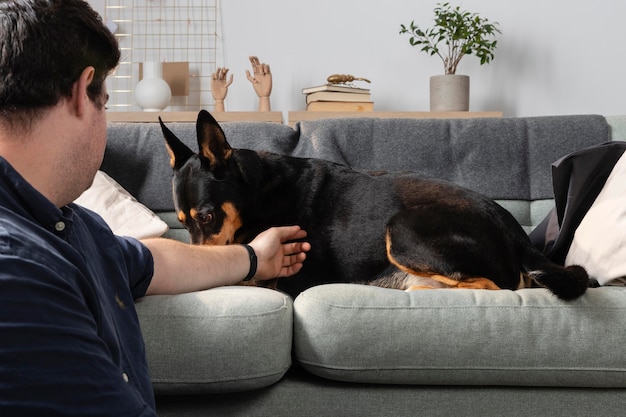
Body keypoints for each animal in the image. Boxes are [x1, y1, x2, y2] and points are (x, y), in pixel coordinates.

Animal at [158, 109, 588, 300]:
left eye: (207, 217)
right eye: (182, 221)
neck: (256, 193)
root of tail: (517, 235)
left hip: (403, 229)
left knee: (498, 288)